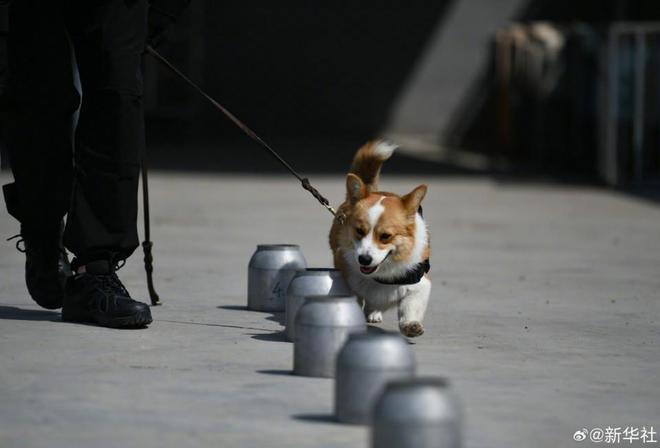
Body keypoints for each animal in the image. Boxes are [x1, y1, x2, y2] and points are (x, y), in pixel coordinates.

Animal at [328, 140, 430, 336]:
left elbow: (410, 305)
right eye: (359, 231)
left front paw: (411, 325)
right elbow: (354, 301)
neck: (381, 274)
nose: (364, 259)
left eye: (385, 236)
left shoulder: (420, 284)